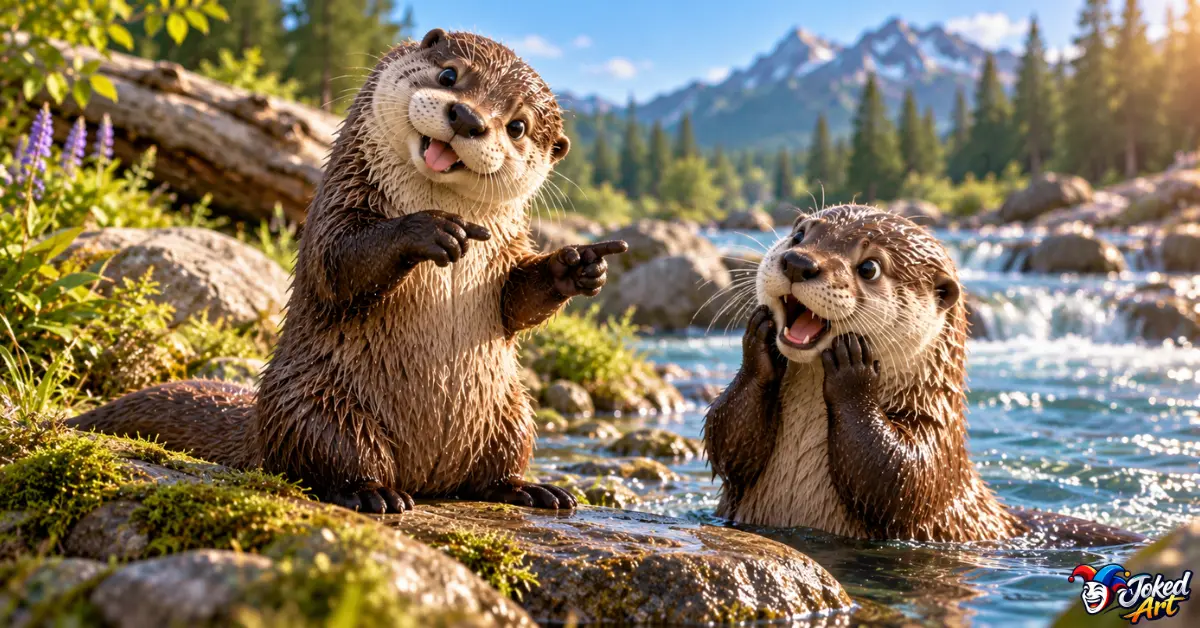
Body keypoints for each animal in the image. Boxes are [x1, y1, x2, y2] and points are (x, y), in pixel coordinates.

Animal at [69, 29, 628, 514]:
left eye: (517, 126)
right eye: (449, 74)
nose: (468, 116)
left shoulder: (508, 252)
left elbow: (516, 303)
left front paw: (578, 266)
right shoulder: (335, 209)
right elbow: (336, 267)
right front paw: (429, 229)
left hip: (510, 411)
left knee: (494, 468)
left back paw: (531, 489)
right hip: (317, 404)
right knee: (327, 458)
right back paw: (372, 493)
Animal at [704, 204, 1142, 545]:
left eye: (869, 267)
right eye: (799, 235)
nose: (798, 262)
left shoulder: (934, 440)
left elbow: (898, 476)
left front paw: (853, 369)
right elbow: (728, 435)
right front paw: (759, 341)